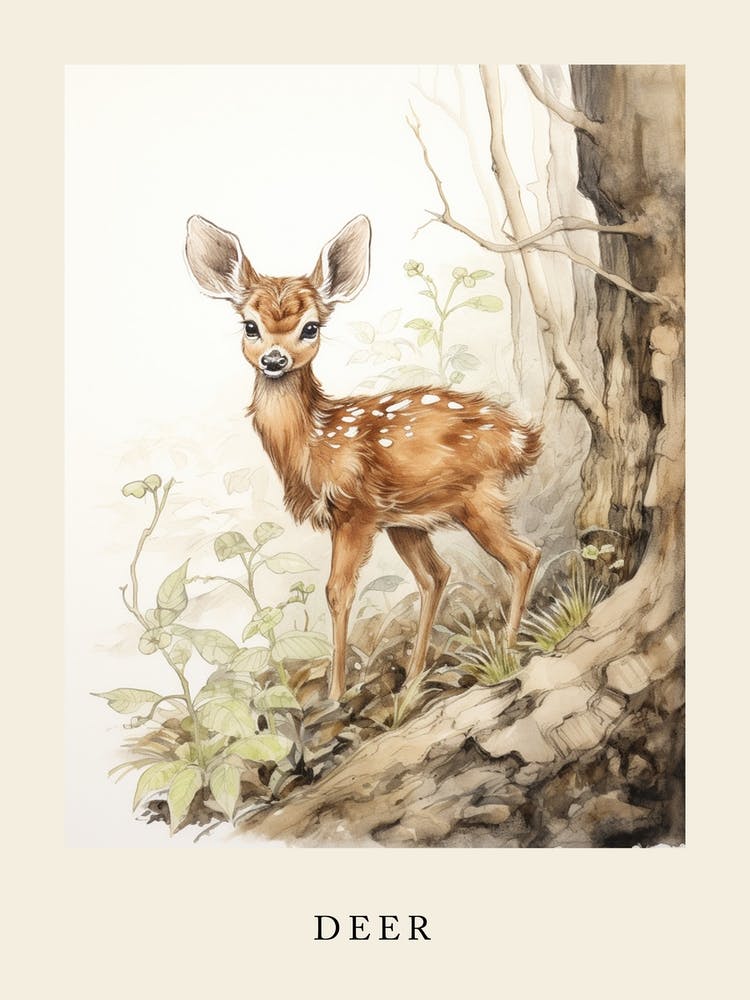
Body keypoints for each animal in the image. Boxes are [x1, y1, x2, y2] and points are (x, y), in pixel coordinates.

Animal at [185, 213, 542, 702]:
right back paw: (413, 677)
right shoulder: (375, 516)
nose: (274, 360)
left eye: (311, 327)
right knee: (437, 574)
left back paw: (506, 650)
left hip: (475, 497)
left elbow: (338, 591)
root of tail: (520, 437)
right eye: (250, 326)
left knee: (524, 556)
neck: (313, 442)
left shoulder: (353, 510)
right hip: (409, 520)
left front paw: (335, 694)